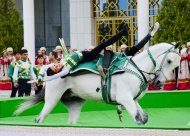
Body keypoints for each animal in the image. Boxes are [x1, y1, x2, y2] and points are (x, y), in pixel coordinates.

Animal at [14, 42, 181, 124]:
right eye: (169, 60)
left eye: (176, 64)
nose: (159, 82)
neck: (135, 68)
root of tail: (52, 67)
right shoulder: (124, 99)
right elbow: (139, 120)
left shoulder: (132, 100)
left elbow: (144, 118)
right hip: (51, 99)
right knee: (39, 119)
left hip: (74, 105)